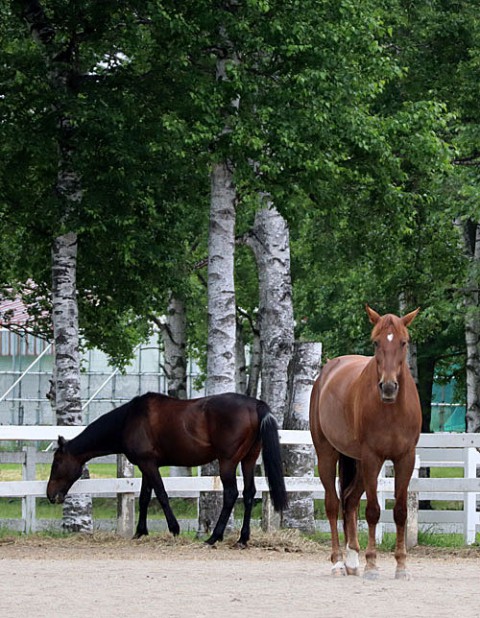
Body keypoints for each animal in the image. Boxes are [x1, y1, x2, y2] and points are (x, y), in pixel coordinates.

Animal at [47, 390, 288, 544]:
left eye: (57, 462)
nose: (50, 495)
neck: (129, 419)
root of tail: (255, 405)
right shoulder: (147, 465)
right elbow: (145, 498)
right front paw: (139, 532)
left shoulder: (148, 465)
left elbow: (161, 494)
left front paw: (174, 529)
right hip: (248, 460)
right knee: (248, 494)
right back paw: (242, 538)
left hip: (228, 462)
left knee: (231, 494)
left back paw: (213, 537)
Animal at [312, 304, 420, 576]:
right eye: (375, 342)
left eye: (404, 342)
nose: (389, 387)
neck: (392, 410)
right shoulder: (373, 457)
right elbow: (372, 511)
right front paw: (372, 563)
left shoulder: (406, 458)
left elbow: (400, 512)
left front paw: (401, 565)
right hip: (328, 454)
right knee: (333, 504)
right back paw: (338, 561)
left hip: (359, 463)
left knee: (349, 501)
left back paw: (352, 560)